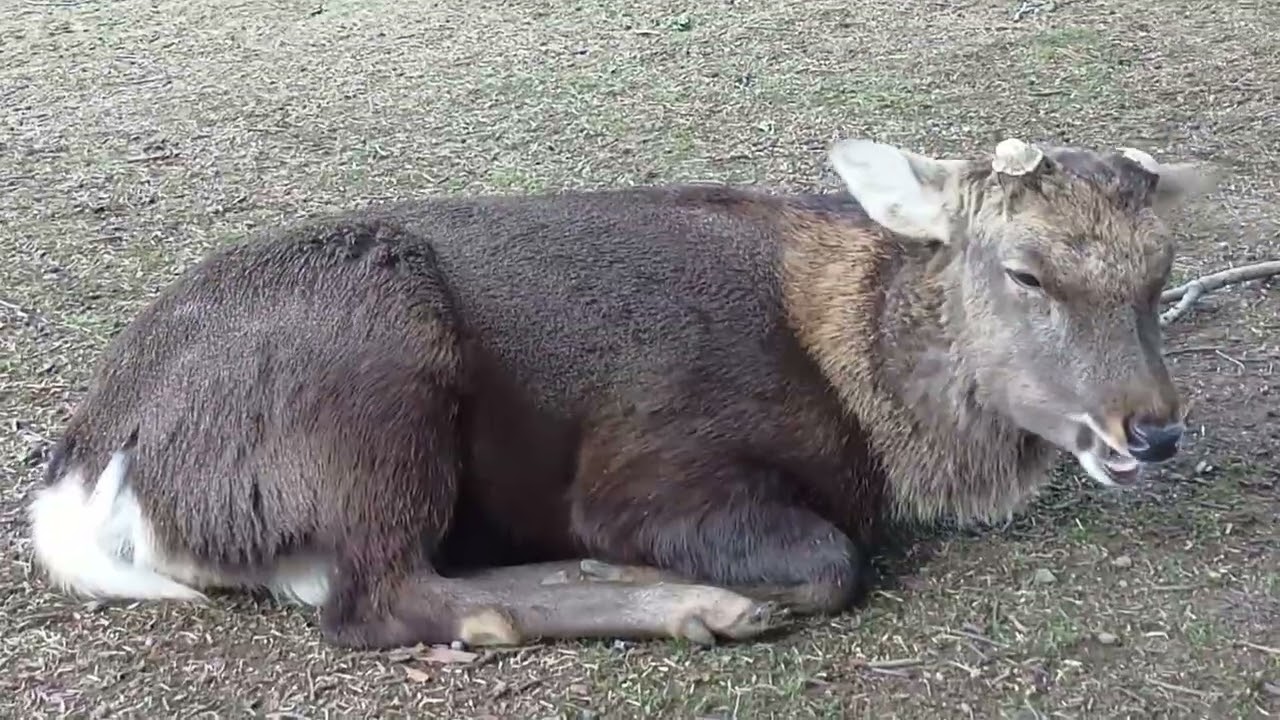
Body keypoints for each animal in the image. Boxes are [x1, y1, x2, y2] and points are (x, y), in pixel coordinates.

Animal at [27, 135, 1211, 650]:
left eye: (1160, 274)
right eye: (1023, 271)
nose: (1149, 429)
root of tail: (86, 471)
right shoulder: (653, 456)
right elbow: (831, 557)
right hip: (378, 375)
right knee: (380, 602)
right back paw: (694, 602)